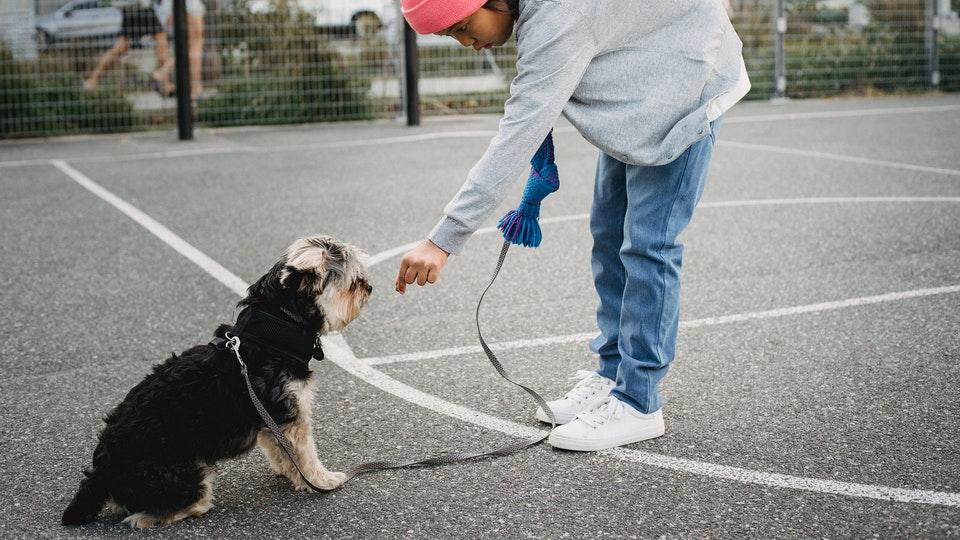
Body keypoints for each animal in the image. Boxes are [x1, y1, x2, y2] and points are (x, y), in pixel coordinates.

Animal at [61, 235, 372, 528]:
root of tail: (102, 472)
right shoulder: (291, 415)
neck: (275, 331)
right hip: (185, 472)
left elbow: (279, 449)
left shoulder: (269, 419)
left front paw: (289, 471)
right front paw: (321, 479)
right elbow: (306, 454)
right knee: (153, 513)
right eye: (353, 282)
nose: (369, 288)